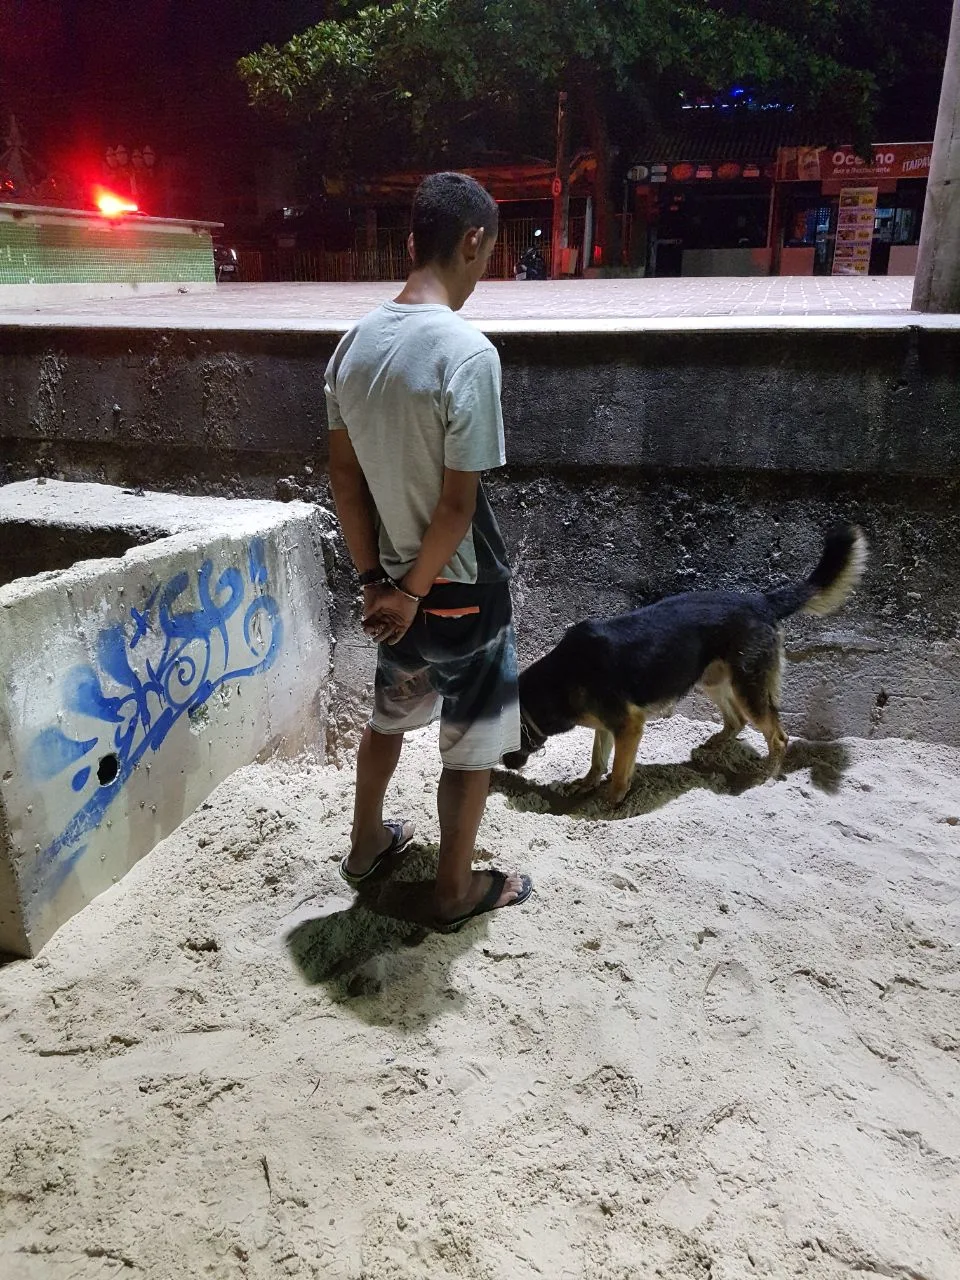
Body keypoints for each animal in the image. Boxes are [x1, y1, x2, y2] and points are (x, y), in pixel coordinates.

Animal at [504, 524, 870, 803]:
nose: (506, 766)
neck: (562, 676)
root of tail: (762, 602)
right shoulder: (609, 725)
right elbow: (597, 759)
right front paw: (586, 783)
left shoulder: (629, 725)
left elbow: (619, 770)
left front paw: (609, 802)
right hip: (713, 678)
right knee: (736, 721)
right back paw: (715, 746)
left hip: (747, 687)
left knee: (778, 737)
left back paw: (765, 778)